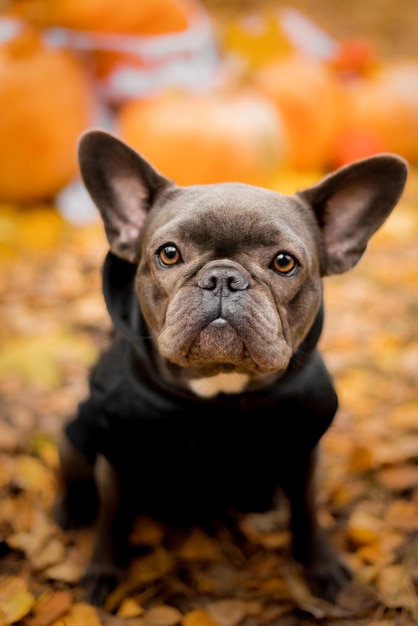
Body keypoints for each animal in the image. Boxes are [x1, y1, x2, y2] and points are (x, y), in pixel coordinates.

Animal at [54, 130, 406, 604]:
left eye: (284, 262)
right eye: (169, 254)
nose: (223, 277)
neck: (220, 388)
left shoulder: (302, 448)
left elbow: (307, 512)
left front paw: (322, 567)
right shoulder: (120, 448)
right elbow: (112, 517)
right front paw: (103, 573)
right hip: (76, 435)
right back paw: (72, 511)